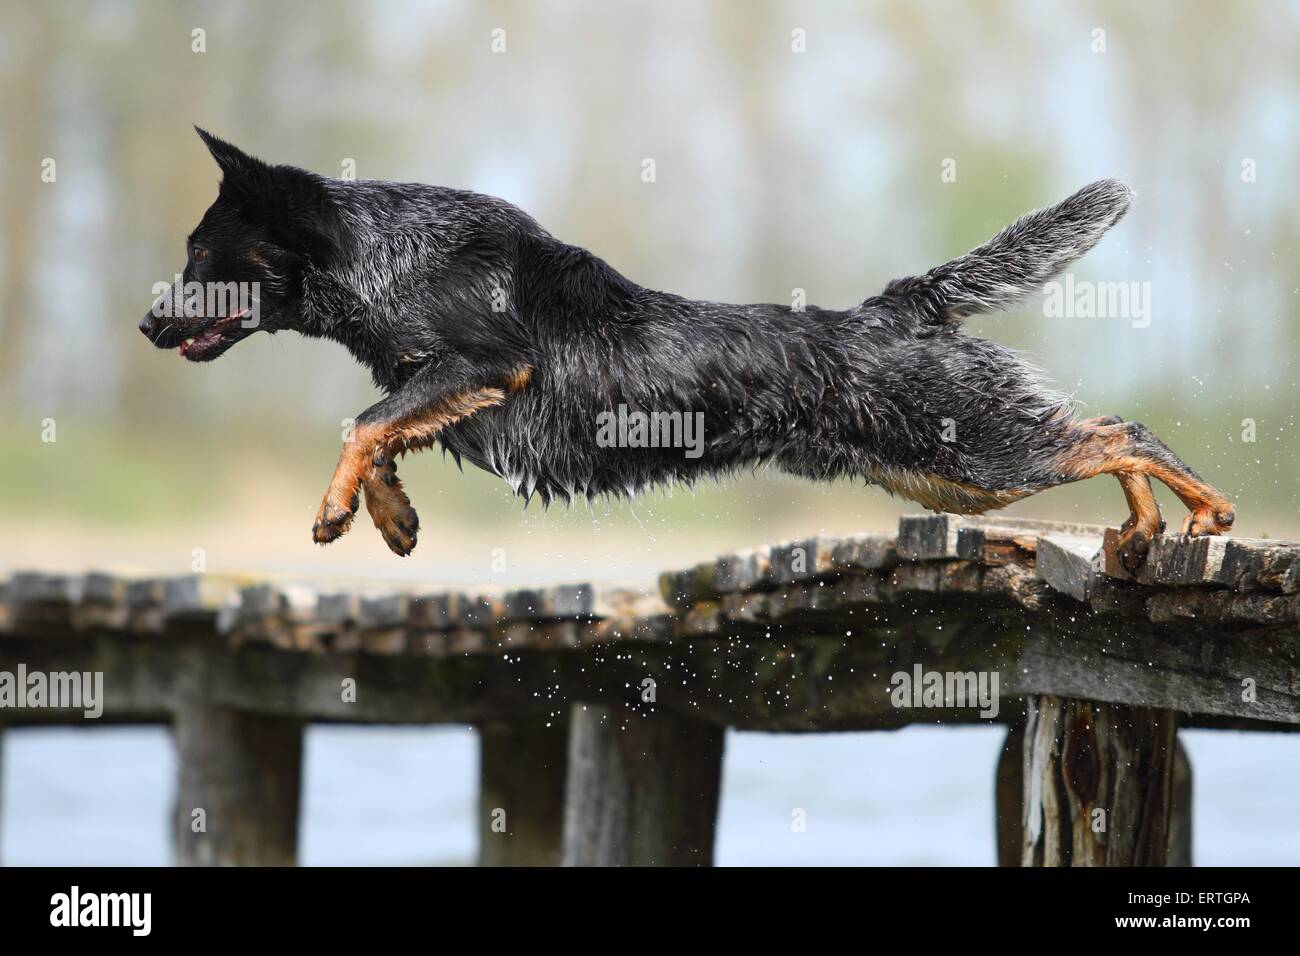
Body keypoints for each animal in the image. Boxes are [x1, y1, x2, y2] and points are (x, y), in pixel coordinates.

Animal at [137, 130, 1232, 572]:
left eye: (200, 258)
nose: (147, 323)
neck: (378, 258)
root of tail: (899, 308)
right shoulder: (448, 391)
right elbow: (382, 432)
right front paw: (393, 519)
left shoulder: (485, 366)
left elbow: (362, 421)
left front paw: (337, 508)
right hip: (947, 477)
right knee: (1101, 434)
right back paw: (1141, 531)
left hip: (978, 455)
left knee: (1118, 430)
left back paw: (1196, 511)